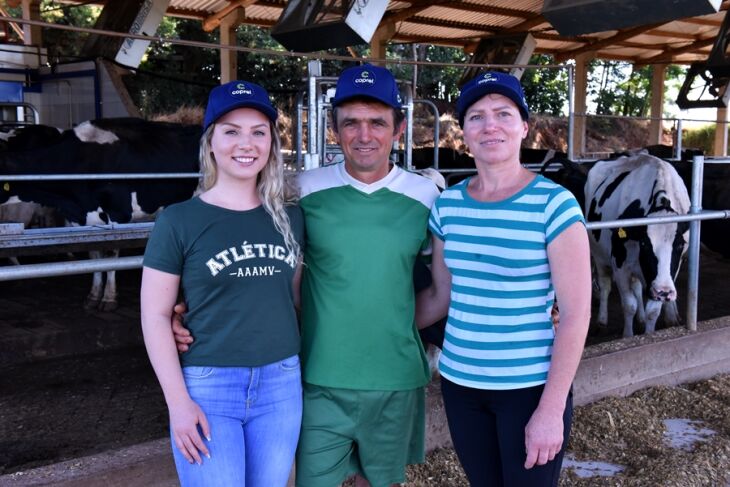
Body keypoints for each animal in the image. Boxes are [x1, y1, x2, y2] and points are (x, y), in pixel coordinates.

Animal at [0, 117, 200, 308]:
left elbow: (111, 255)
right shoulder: (85, 219)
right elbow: (94, 253)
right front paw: (94, 295)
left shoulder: (118, 214)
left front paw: (109, 298)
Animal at [584, 154, 692, 338]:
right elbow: (629, 305)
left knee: (637, 287)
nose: (664, 291)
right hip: (598, 255)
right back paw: (602, 320)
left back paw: (641, 318)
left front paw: (649, 334)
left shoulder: (668, 272)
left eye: (679, 245)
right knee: (605, 285)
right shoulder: (620, 266)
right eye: (644, 244)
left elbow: (652, 311)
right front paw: (628, 336)